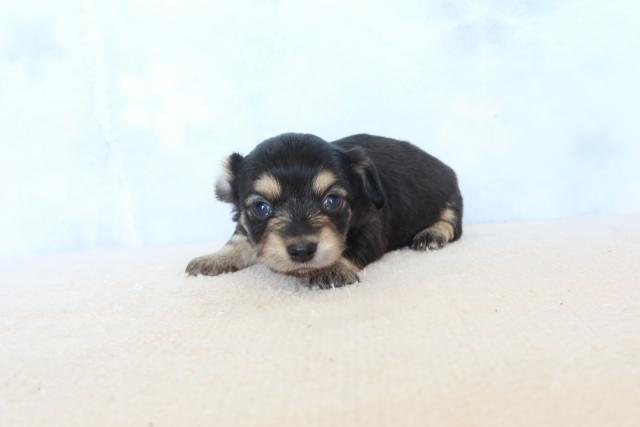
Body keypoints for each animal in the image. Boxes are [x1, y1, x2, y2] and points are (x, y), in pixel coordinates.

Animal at [186, 133, 463, 288]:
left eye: (332, 201)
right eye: (261, 207)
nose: (302, 251)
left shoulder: (371, 226)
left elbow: (351, 246)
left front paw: (332, 268)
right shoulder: (245, 223)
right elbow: (239, 239)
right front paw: (215, 258)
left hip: (449, 197)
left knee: (451, 223)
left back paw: (431, 234)